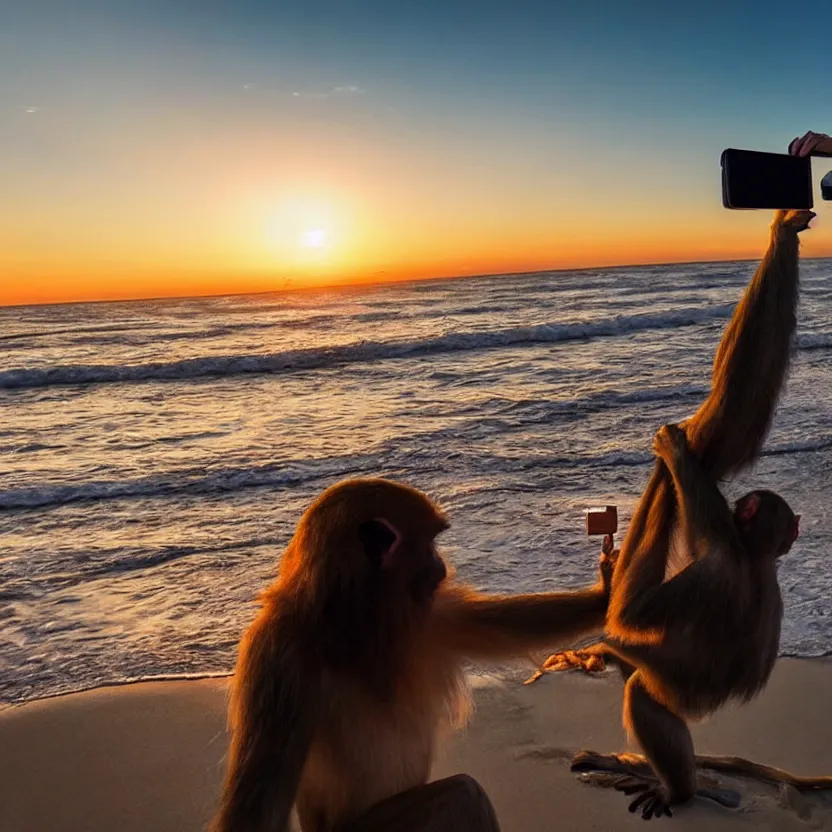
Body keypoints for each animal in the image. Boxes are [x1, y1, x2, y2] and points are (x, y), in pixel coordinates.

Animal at [211, 478, 616, 828]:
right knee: (463, 794)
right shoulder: (278, 656)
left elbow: (502, 626)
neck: (355, 622)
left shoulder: (426, 615)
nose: (441, 566)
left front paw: (605, 593)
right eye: (430, 543)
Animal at [536, 208, 816, 820]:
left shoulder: (715, 561)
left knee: (639, 687)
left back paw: (675, 785)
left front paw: (676, 454)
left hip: (667, 693)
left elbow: (633, 612)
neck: (757, 559)